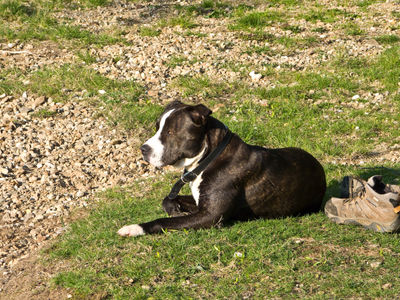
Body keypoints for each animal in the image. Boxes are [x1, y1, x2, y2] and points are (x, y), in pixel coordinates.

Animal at [117, 101, 326, 237]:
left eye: (170, 132)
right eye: (157, 128)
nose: (143, 149)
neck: (209, 156)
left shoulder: (210, 216)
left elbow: (162, 221)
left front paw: (135, 228)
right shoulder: (200, 204)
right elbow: (167, 200)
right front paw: (176, 209)